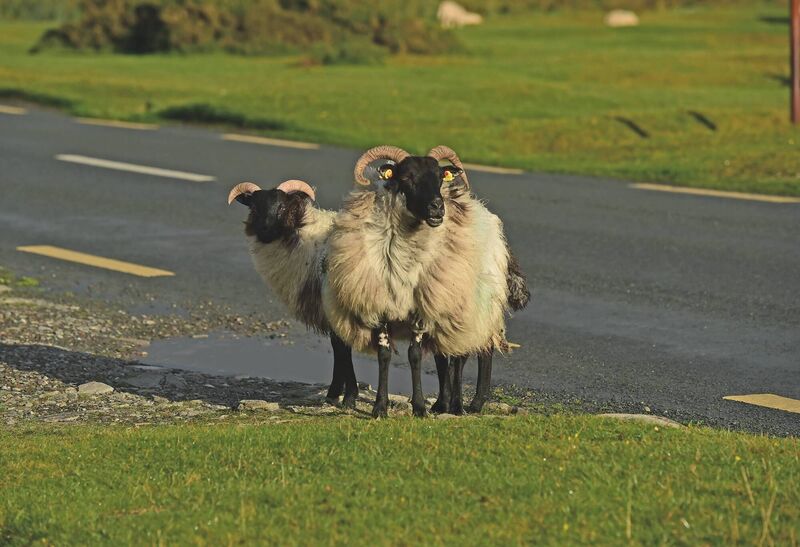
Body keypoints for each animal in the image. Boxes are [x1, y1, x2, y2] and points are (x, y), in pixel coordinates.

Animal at [227, 179, 359, 408]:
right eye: (254, 208)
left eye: (281, 207)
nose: (265, 230)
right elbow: (338, 348)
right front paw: (335, 393)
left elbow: (342, 349)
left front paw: (349, 397)